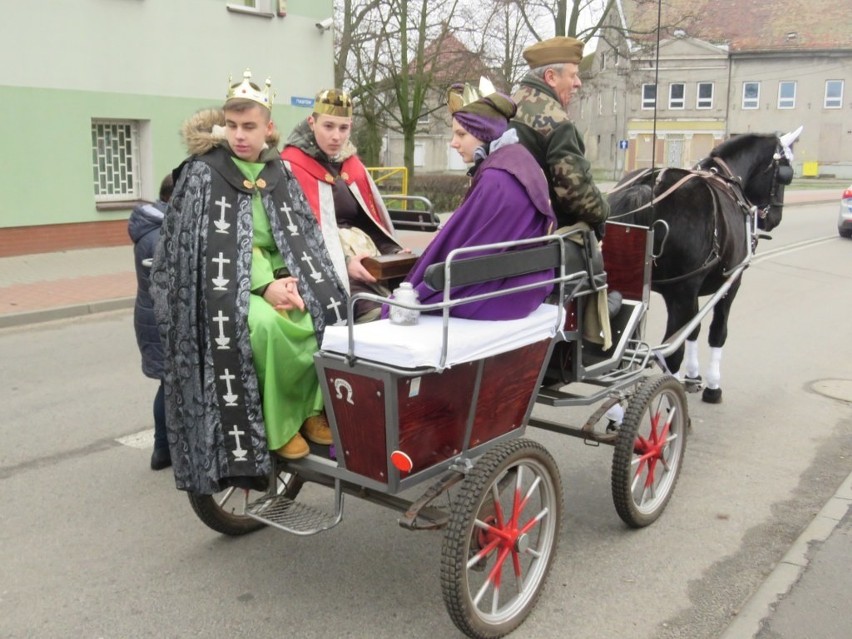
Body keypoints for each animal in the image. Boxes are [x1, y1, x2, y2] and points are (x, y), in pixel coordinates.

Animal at [608, 127, 804, 402]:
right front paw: (712, 385)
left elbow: (693, 330)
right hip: (681, 292)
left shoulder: (691, 293)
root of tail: (648, 188)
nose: (775, 218)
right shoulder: (730, 283)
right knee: (669, 352)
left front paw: (693, 375)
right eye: (786, 173)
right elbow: (716, 332)